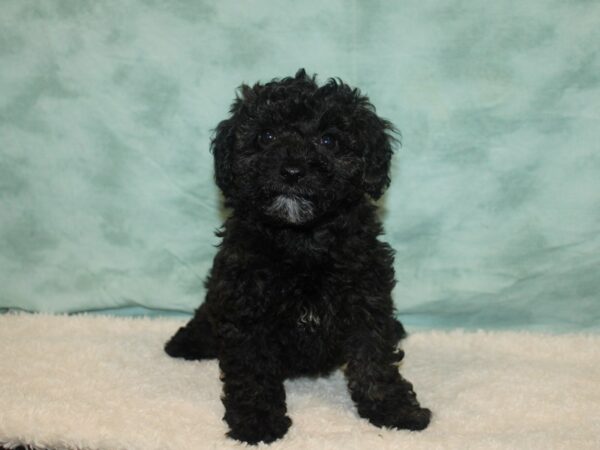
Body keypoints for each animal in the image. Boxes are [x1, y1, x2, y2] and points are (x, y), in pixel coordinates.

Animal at [165, 69, 432, 442]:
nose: (292, 170)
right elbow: (252, 370)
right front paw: (257, 420)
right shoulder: (245, 303)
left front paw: (394, 409)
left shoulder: (366, 296)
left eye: (329, 141)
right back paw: (186, 341)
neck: (302, 238)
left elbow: (374, 359)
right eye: (266, 136)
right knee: (207, 313)